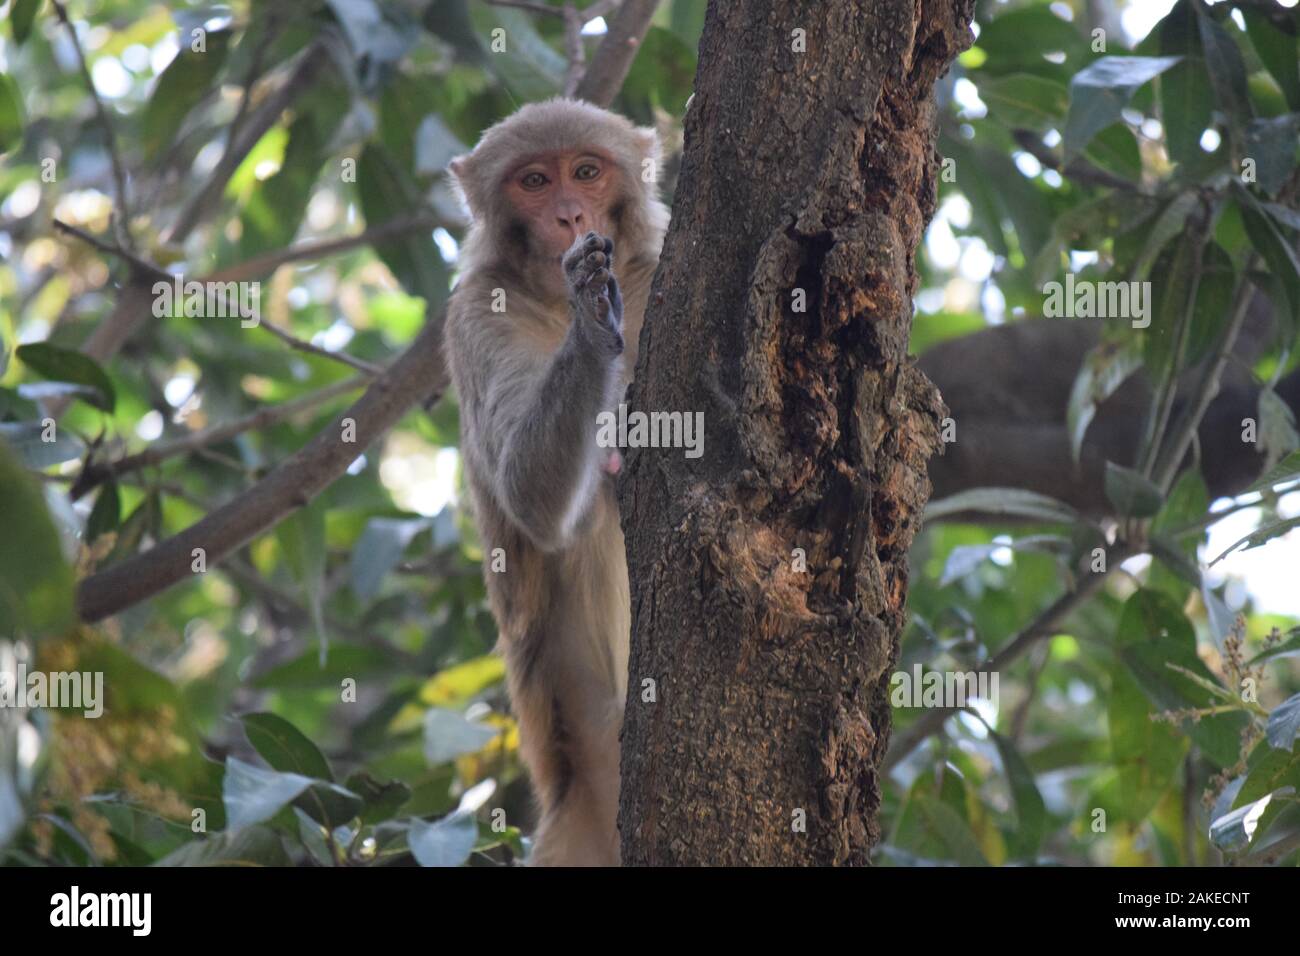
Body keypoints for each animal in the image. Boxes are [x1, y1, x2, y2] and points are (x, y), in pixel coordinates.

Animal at [444, 98, 670, 868]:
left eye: (587, 172)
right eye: (535, 181)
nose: (571, 214)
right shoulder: (475, 311)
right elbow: (529, 498)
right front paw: (592, 314)